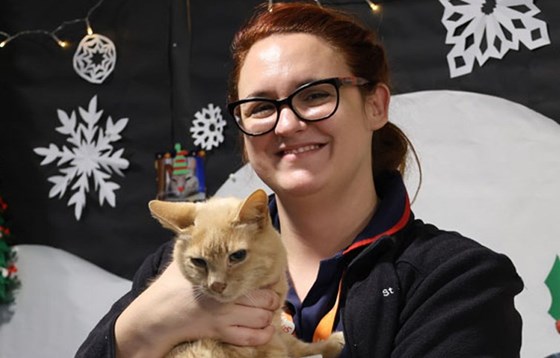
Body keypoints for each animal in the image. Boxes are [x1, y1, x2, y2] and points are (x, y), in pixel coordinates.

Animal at [148, 189, 346, 356]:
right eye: (198, 262)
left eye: (237, 256)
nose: (216, 285)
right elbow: (286, 347)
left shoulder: (275, 332)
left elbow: (296, 344)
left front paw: (330, 343)